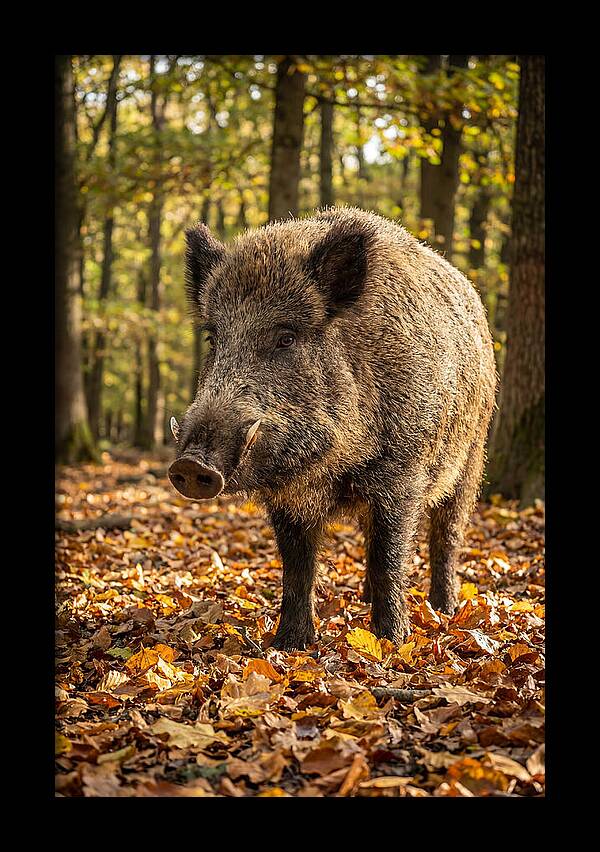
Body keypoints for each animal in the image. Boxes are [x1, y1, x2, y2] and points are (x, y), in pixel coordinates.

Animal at [168, 207, 497, 651]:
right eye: (213, 339)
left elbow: (390, 556)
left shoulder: (402, 474)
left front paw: (391, 642)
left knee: (447, 534)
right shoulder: (288, 500)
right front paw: (288, 645)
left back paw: (443, 609)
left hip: (472, 455)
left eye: (286, 338)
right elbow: (297, 567)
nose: (190, 465)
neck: (330, 467)